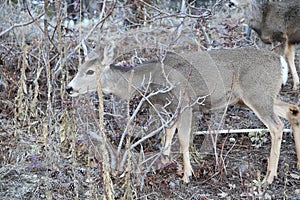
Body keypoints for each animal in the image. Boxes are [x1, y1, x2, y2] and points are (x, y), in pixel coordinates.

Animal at [67, 45, 300, 184]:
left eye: (90, 71)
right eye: (79, 67)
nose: (69, 88)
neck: (150, 78)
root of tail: (279, 62)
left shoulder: (185, 102)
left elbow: (183, 138)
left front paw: (187, 174)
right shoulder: (170, 106)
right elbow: (169, 130)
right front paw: (164, 159)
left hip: (257, 94)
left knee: (277, 126)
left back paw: (269, 176)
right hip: (263, 96)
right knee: (293, 110)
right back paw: (296, 163)